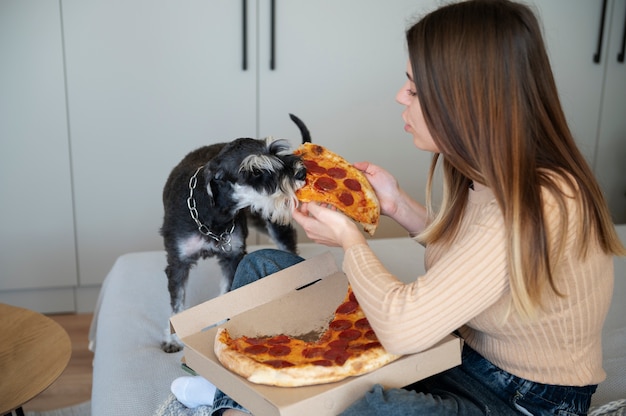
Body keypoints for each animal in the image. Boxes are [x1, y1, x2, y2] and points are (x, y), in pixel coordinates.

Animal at [160, 114, 308, 352]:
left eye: (277, 152)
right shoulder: (178, 262)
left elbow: (228, 293)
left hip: (272, 224)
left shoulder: (232, 258)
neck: (213, 213)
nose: (302, 173)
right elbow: (177, 301)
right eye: (255, 171)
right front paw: (172, 340)